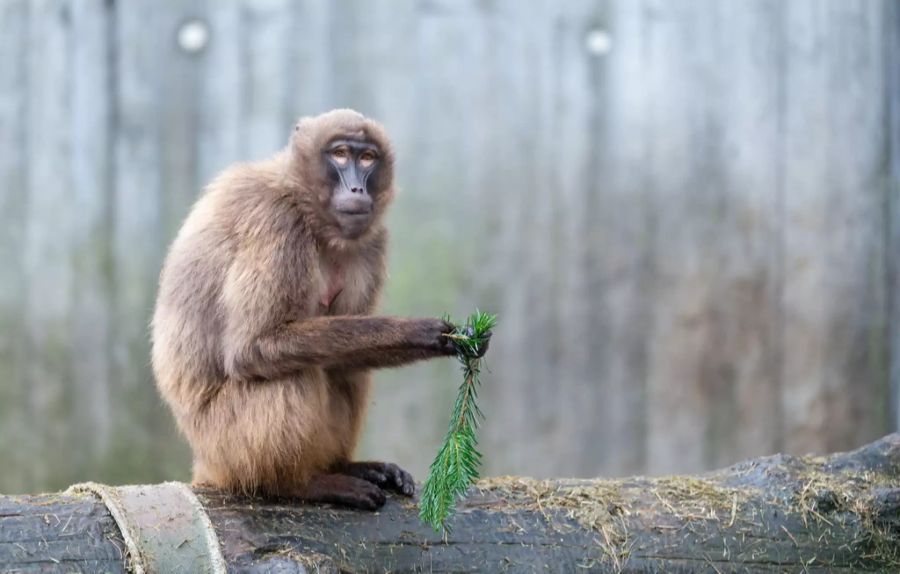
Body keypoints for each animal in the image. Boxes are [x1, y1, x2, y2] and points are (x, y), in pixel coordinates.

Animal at [149, 110, 486, 510]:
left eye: (367, 158)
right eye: (340, 154)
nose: (357, 189)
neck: (305, 203)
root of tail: (206, 464)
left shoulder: (372, 242)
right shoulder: (277, 223)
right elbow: (253, 347)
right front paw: (425, 332)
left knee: (341, 366)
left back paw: (342, 466)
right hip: (227, 446)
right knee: (290, 371)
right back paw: (298, 484)